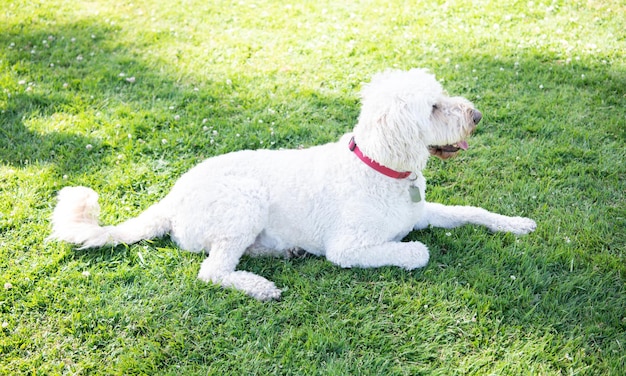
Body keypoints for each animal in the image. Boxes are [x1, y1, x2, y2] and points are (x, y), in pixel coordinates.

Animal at [50, 69, 536, 302]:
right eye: (433, 107)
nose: (476, 116)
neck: (380, 168)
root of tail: (172, 197)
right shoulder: (349, 248)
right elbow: (417, 251)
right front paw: (414, 250)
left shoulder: (423, 210)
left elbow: (474, 212)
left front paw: (516, 224)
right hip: (244, 202)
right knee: (212, 271)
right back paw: (259, 286)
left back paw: (284, 252)